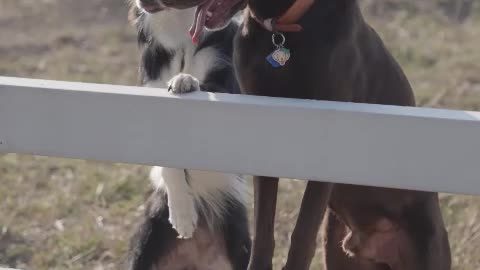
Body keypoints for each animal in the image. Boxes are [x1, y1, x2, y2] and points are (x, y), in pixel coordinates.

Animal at [127, 1, 251, 268]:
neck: (181, 36)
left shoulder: (224, 82)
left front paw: (184, 79)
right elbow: (169, 165)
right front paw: (182, 216)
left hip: (239, 242)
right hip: (145, 238)